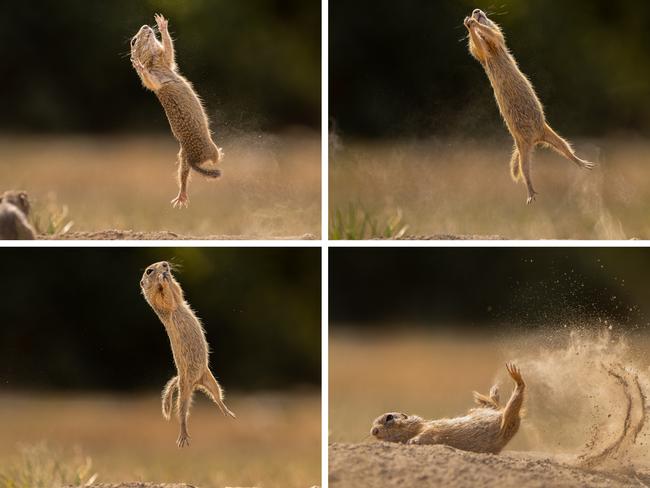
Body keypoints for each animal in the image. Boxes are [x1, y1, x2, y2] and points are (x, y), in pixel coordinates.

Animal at [130, 14, 224, 209]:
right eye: (134, 41)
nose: (145, 26)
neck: (154, 62)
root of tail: (193, 159)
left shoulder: (165, 62)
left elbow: (169, 51)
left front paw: (161, 24)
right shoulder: (154, 74)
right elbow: (151, 76)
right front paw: (139, 66)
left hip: (182, 159)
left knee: (184, 175)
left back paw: (181, 197)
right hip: (208, 149)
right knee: (214, 159)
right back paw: (220, 153)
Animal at [139, 262, 235, 448]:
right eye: (149, 271)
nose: (165, 264)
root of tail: (196, 383)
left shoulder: (179, 297)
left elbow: (178, 291)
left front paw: (169, 277)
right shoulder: (160, 302)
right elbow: (166, 299)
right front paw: (162, 278)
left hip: (211, 380)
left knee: (217, 397)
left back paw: (228, 413)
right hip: (183, 392)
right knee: (182, 414)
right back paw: (183, 437)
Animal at [368, 362, 524, 454]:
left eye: (389, 417)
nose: (373, 431)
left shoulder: (429, 428)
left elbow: (429, 433)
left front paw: (413, 441)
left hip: (508, 421)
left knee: (511, 401)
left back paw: (513, 378)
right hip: (505, 419)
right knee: (502, 405)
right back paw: (495, 393)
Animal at [460, 9, 592, 204]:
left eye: (486, 14)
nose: (476, 11)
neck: (491, 51)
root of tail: (536, 140)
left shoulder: (496, 41)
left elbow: (493, 33)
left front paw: (472, 23)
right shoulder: (482, 51)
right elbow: (477, 45)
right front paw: (469, 23)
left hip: (551, 135)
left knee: (565, 149)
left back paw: (582, 163)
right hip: (523, 150)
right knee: (525, 171)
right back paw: (530, 193)